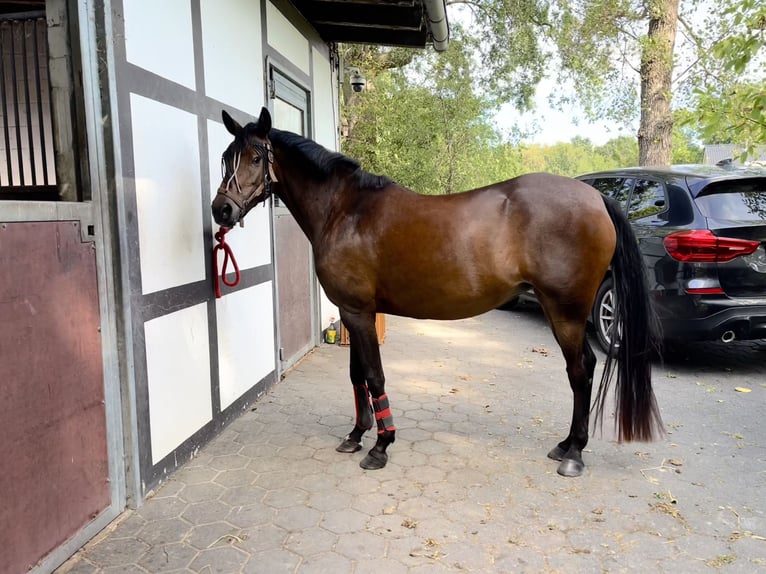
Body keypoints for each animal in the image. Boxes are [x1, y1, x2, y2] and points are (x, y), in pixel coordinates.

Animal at [212, 107, 664, 477]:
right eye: (225, 157)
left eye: (256, 157)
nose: (222, 210)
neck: (346, 210)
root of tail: (597, 197)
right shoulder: (352, 311)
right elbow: (357, 375)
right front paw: (356, 435)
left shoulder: (358, 312)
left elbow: (374, 375)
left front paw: (381, 445)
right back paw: (566, 445)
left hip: (566, 312)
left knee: (580, 370)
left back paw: (574, 454)